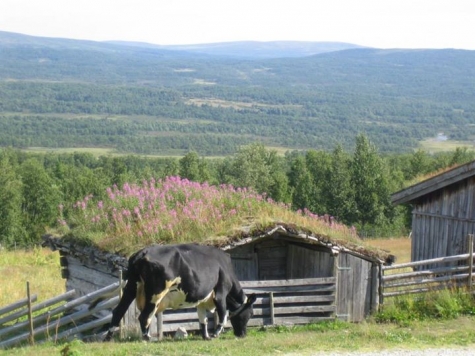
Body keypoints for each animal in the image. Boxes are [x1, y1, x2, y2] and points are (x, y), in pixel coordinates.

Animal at [96, 243, 256, 340]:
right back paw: (147, 338)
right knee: (144, 316)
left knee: (119, 311)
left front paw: (206, 336)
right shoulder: (221, 292)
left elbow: (202, 319)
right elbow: (223, 313)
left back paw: (108, 338)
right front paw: (216, 334)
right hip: (156, 292)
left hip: (131, 286)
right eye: (250, 314)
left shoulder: (202, 299)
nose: (242, 334)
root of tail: (143, 252)